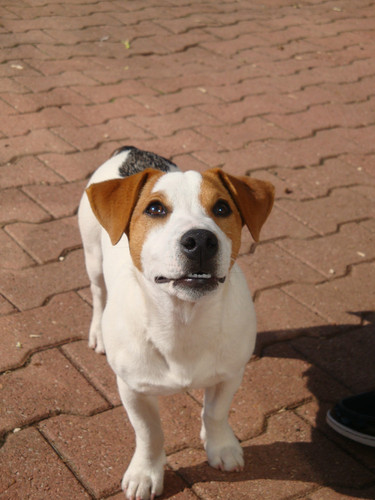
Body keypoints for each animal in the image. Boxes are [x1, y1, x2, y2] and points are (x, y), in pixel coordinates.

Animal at [78, 146, 274, 500]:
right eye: (155, 209)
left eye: (222, 207)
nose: (200, 240)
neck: (183, 320)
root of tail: (132, 150)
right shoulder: (133, 389)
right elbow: (149, 433)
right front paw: (146, 473)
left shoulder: (230, 374)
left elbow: (215, 412)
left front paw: (220, 446)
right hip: (93, 257)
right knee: (98, 293)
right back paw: (98, 331)